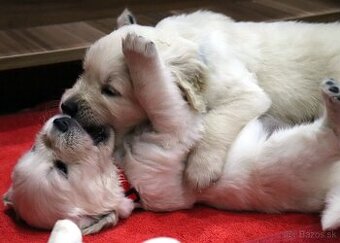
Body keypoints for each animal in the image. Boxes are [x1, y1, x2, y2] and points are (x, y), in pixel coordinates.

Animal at [60, 9, 340, 190]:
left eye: (110, 91)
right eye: (82, 71)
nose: (66, 106)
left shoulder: (245, 92)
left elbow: (216, 120)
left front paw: (200, 168)